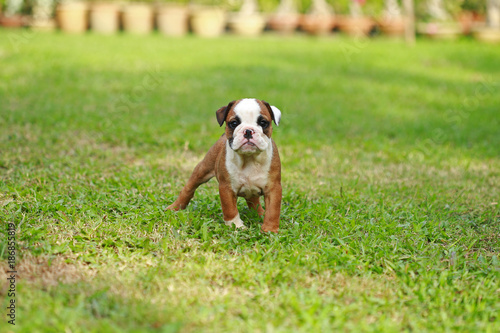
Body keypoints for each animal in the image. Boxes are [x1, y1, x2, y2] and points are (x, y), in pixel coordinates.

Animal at [168, 98, 284, 231]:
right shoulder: (226, 188)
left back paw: (259, 214)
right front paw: (236, 226)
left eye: (263, 123)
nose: (248, 131)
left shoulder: (273, 188)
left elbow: (273, 211)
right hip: (202, 169)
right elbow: (230, 209)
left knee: (253, 201)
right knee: (188, 188)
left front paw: (269, 229)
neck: (249, 158)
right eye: (233, 123)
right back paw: (174, 207)